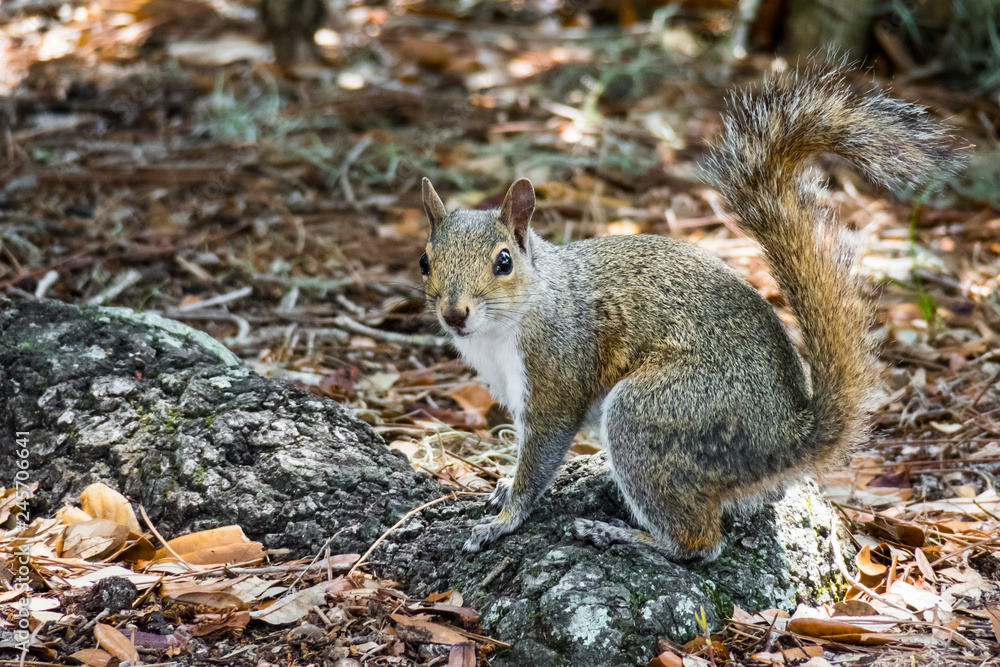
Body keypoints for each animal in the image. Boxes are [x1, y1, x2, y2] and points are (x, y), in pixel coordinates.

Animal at [419, 64, 959, 561]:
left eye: (503, 262)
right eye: (425, 261)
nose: (454, 314)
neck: (508, 323)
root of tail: (786, 437)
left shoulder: (556, 374)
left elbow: (541, 455)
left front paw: (505, 519)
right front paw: (502, 489)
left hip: (652, 415)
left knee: (700, 543)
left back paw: (622, 534)